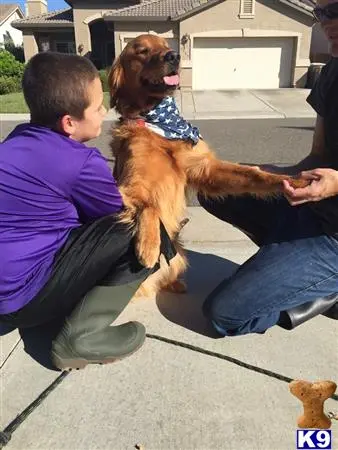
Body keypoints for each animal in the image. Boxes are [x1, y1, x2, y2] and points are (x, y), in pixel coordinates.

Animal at [108, 33, 308, 298]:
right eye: (142, 50)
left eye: (165, 45)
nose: (174, 56)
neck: (160, 124)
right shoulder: (128, 185)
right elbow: (150, 206)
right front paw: (149, 247)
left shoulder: (205, 169)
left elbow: (253, 174)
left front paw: (295, 180)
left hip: (180, 256)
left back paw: (176, 284)